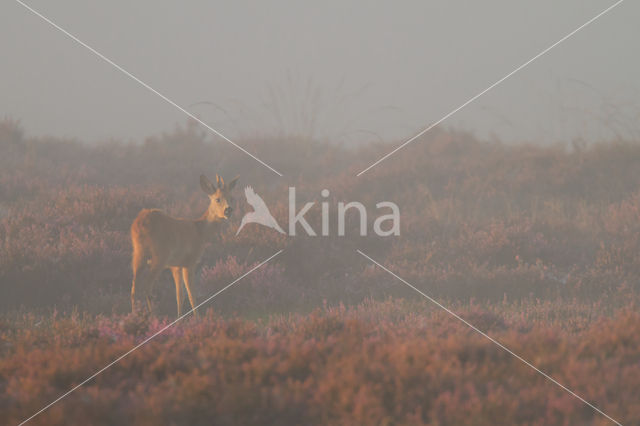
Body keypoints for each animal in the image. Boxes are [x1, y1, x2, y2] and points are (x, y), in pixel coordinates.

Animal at [130, 174, 238, 316]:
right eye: (217, 199)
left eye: (231, 198)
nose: (228, 210)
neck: (200, 232)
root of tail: (139, 224)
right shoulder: (189, 262)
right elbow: (191, 295)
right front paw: (197, 319)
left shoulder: (176, 266)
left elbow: (179, 296)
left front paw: (179, 319)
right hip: (159, 256)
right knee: (147, 287)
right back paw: (153, 316)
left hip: (138, 254)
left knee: (134, 288)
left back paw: (133, 316)